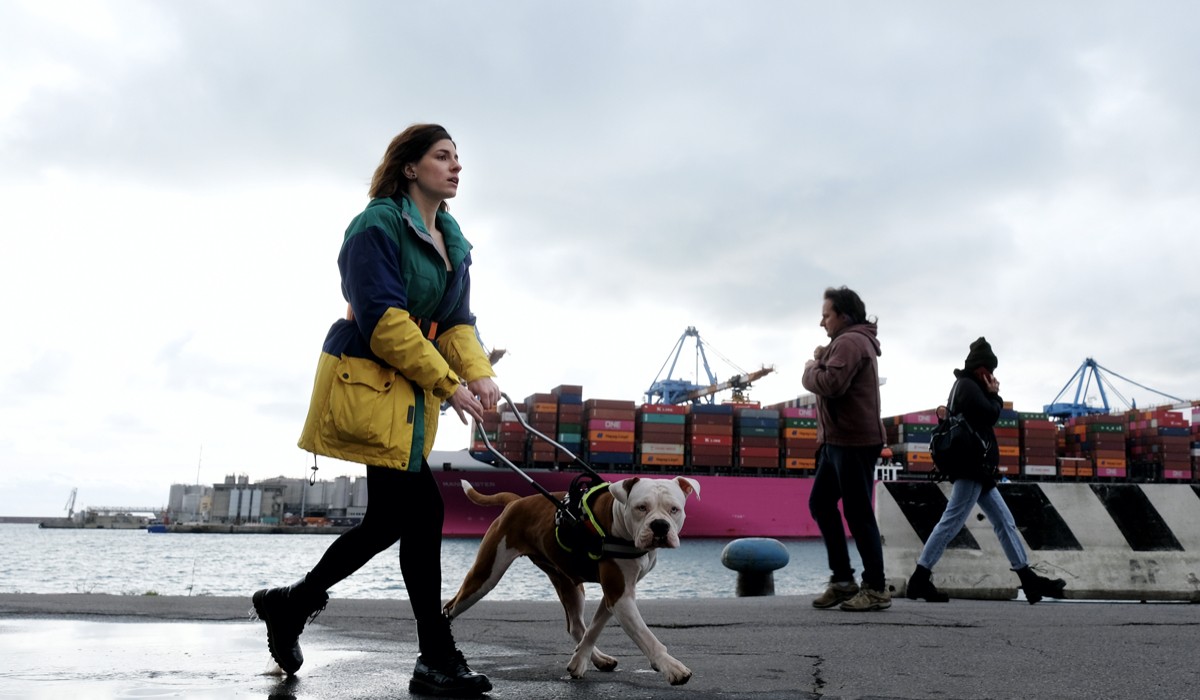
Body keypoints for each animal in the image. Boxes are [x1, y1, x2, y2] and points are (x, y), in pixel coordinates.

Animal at [446, 475, 700, 686]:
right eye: (641, 507)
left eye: (674, 509)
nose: (660, 525)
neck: (619, 519)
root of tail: (516, 501)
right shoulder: (620, 594)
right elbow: (646, 635)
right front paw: (671, 667)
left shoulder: (616, 593)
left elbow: (594, 627)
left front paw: (580, 660)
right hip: (485, 576)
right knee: (450, 607)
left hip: (568, 583)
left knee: (576, 626)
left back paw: (599, 659)